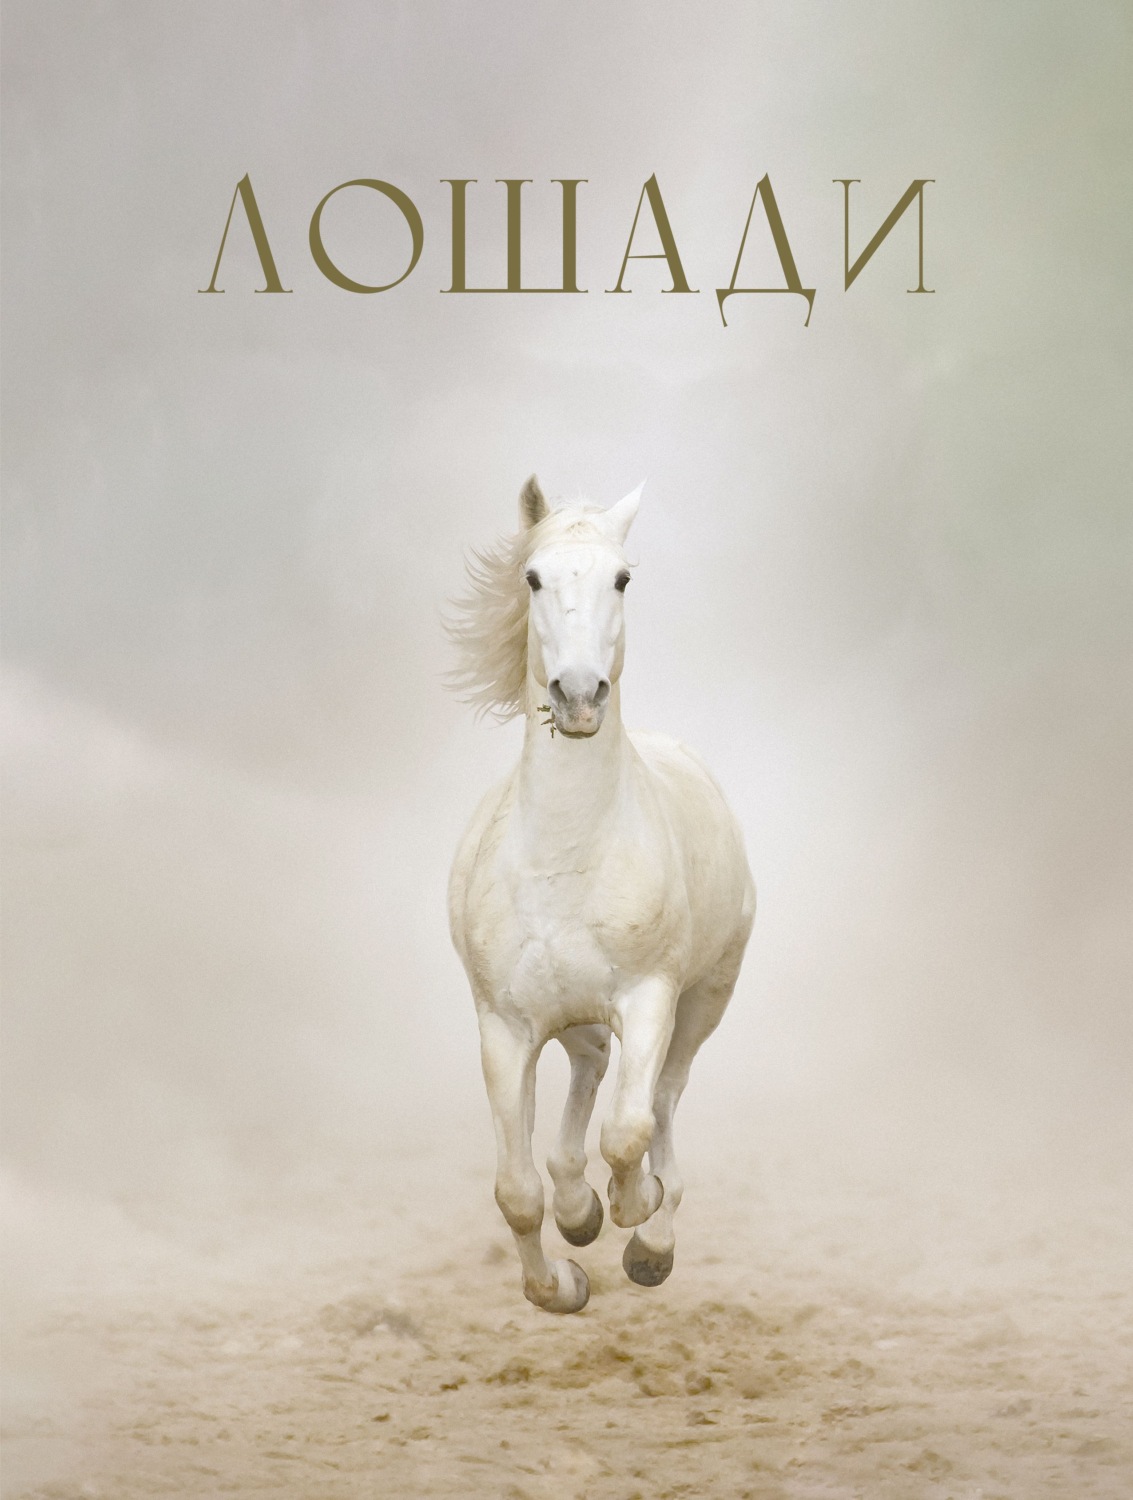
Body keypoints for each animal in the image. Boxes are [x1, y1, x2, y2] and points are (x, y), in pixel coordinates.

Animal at [447, 476, 755, 1314]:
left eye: (621, 579)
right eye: (532, 577)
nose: (580, 695)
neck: (567, 857)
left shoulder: (648, 999)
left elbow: (628, 1132)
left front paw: (634, 1213)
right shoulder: (504, 1027)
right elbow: (516, 1192)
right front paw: (561, 1279)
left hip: (704, 1000)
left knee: (664, 1100)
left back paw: (650, 1234)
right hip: (574, 1017)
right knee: (586, 1073)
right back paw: (579, 1208)